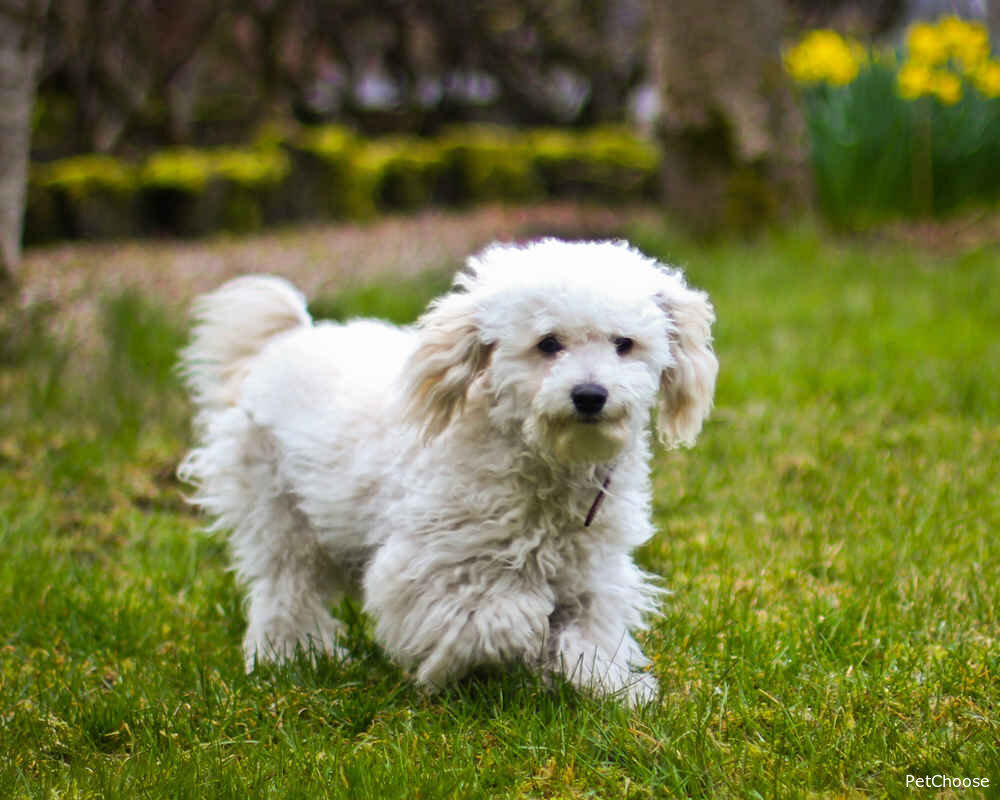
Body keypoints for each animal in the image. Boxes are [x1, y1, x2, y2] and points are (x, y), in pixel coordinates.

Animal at [176, 239, 716, 708]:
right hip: (280, 517)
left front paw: (611, 687)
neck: (539, 459)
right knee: (284, 592)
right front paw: (473, 658)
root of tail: (282, 343)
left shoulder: (593, 573)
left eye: (624, 344)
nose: (590, 395)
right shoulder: (427, 566)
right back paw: (286, 661)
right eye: (548, 344)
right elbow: (502, 615)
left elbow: (590, 631)